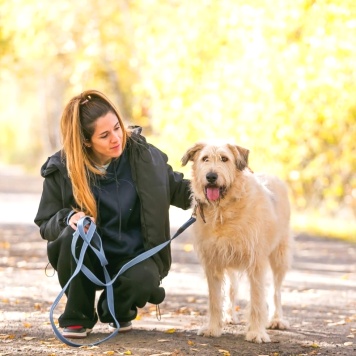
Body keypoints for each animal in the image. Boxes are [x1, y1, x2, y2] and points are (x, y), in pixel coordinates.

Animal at [181, 143, 292, 344]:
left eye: (224, 159)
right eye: (205, 159)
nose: (211, 176)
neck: (223, 210)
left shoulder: (256, 262)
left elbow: (257, 300)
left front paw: (256, 332)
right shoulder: (213, 261)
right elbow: (215, 299)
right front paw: (213, 327)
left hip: (280, 255)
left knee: (276, 290)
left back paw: (277, 320)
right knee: (232, 289)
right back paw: (228, 316)